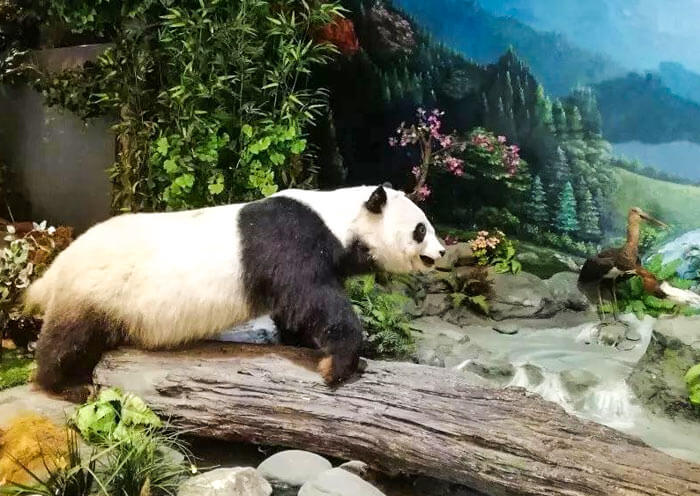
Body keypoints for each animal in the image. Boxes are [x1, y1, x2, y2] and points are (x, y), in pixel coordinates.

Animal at [25, 184, 445, 397]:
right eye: (420, 228)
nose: (441, 252)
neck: (338, 216)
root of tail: (56, 267)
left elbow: (295, 307)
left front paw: (305, 344)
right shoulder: (293, 240)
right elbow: (313, 299)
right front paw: (339, 366)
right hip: (97, 288)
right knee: (69, 338)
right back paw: (64, 385)